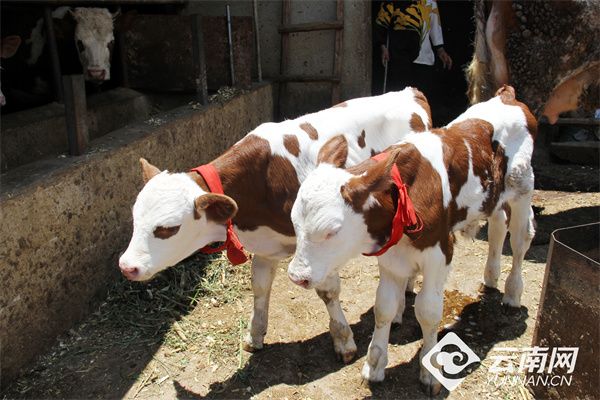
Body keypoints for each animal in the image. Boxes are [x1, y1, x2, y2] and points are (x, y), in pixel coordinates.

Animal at [288, 86, 536, 396]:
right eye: (294, 222)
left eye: (332, 231)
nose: (296, 276)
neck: (404, 194)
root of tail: (507, 96)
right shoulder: (390, 257)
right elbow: (383, 307)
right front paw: (374, 367)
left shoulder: (439, 252)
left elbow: (429, 311)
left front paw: (430, 373)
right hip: (494, 197)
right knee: (499, 226)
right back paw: (490, 278)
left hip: (523, 188)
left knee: (520, 240)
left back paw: (512, 294)